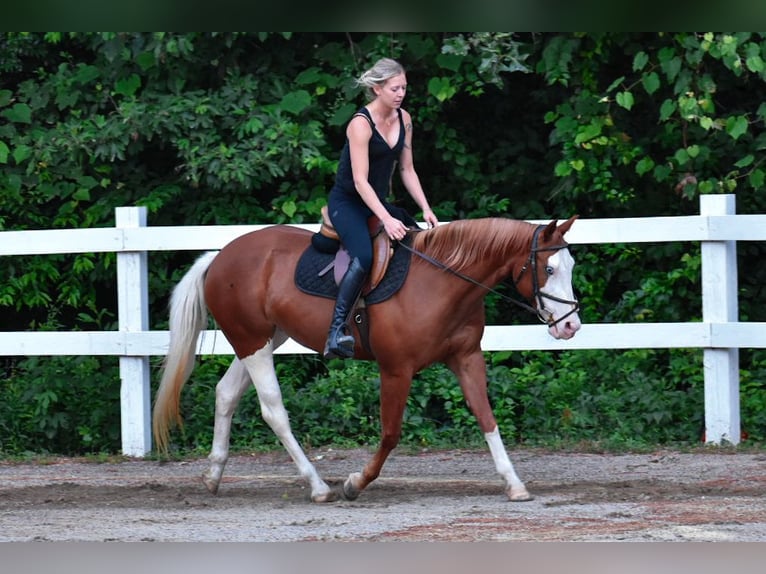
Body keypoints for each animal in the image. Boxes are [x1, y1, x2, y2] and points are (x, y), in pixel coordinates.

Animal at [152, 216, 584, 504]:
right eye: (548, 268)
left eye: (571, 267)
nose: (570, 326)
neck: (442, 281)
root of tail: (220, 256)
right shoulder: (396, 369)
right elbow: (391, 433)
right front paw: (355, 483)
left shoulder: (466, 358)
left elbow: (487, 417)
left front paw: (514, 483)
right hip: (252, 342)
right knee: (273, 410)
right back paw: (318, 487)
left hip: (263, 339)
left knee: (225, 394)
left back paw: (213, 475)